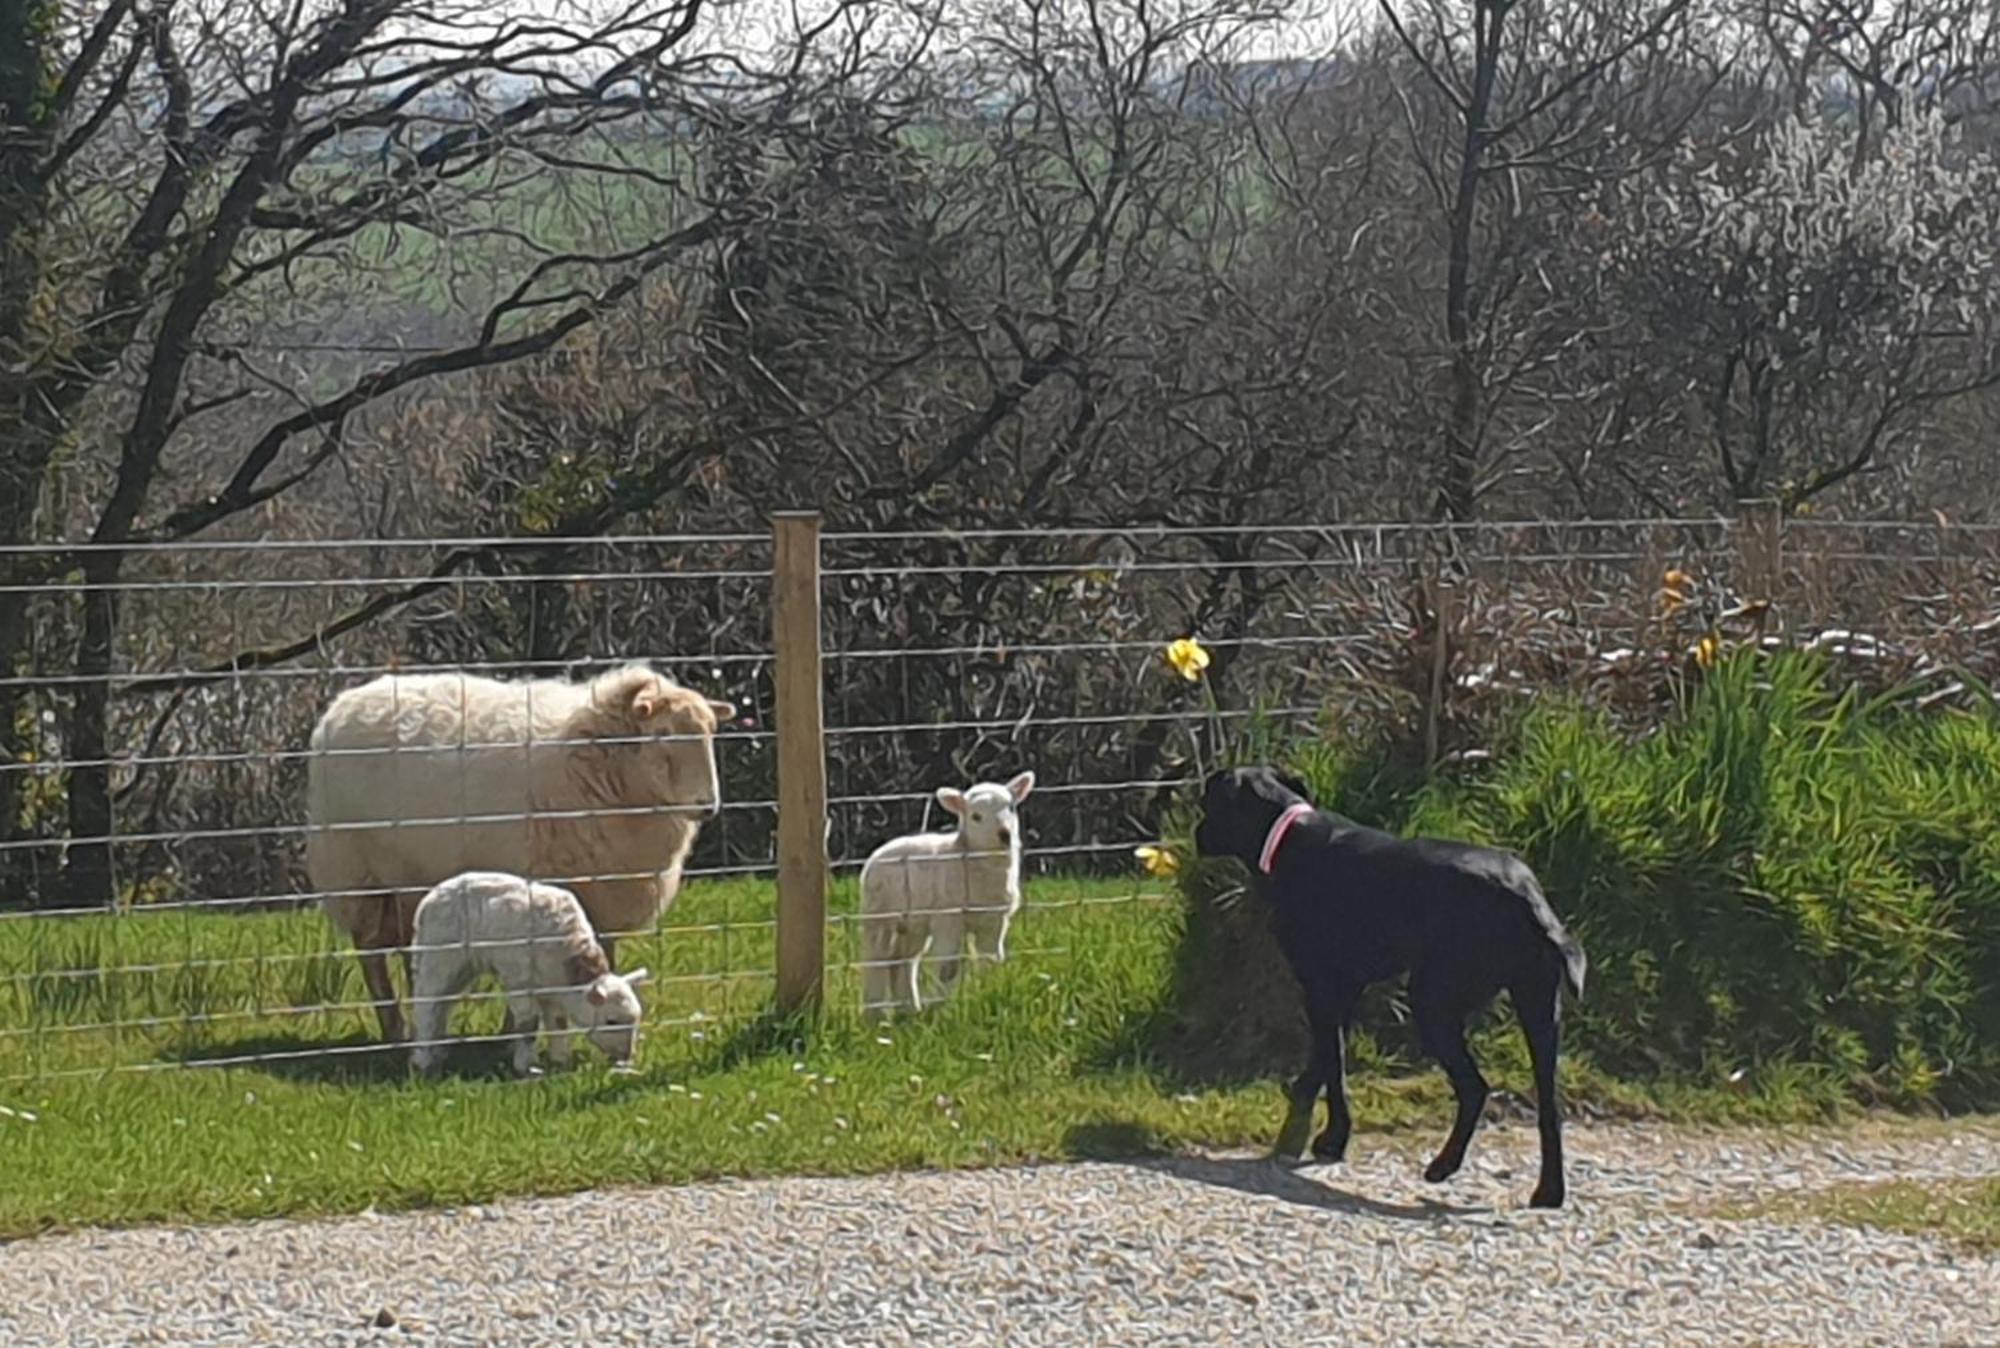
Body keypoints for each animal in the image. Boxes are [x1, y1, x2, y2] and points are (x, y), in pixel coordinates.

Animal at [304, 660, 728, 1040]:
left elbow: (605, 959)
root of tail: (342, 706)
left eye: (711, 733)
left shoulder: (604, 894)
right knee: (370, 952)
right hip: (358, 874)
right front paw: (518, 1031)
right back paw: (394, 1028)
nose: (707, 806)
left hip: (407, 880)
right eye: (663, 733)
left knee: (409, 948)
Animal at [406, 868, 648, 1080]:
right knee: (427, 1003)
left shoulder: (553, 989)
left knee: (443, 1006)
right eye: (611, 1021)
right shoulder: (519, 979)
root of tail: (429, 899)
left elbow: (558, 1024)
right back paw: (424, 1062)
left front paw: (559, 1063)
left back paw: (436, 1053)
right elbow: (528, 1026)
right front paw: (526, 1068)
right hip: (440, 955)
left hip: (462, 968)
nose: (626, 1056)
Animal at [856, 768, 1032, 1008]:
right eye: (976, 816)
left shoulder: (994, 920)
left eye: (1011, 808)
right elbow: (948, 967)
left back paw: (909, 1009)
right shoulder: (948, 918)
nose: (1004, 834)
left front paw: (988, 991)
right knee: (876, 961)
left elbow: (992, 959)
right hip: (879, 916)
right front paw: (945, 1007)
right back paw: (875, 1011)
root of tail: (877, 854)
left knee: (903, 962)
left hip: (912, 924)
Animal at [1184, 768, 1592, 1208]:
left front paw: (1330, 1137)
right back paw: (1549, 1191)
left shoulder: (1321, 984)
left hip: (1433, 1002)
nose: (1196, 832)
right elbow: (1327, 1056)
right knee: (1549, 1107)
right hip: (1540, 1011)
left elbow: (1333, 1063)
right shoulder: (1343, 989)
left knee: (1475, 1088)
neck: (1286, 832)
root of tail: (1527, 900)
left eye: (1208, 801)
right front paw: (1305, 1110)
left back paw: (1444, 1165)